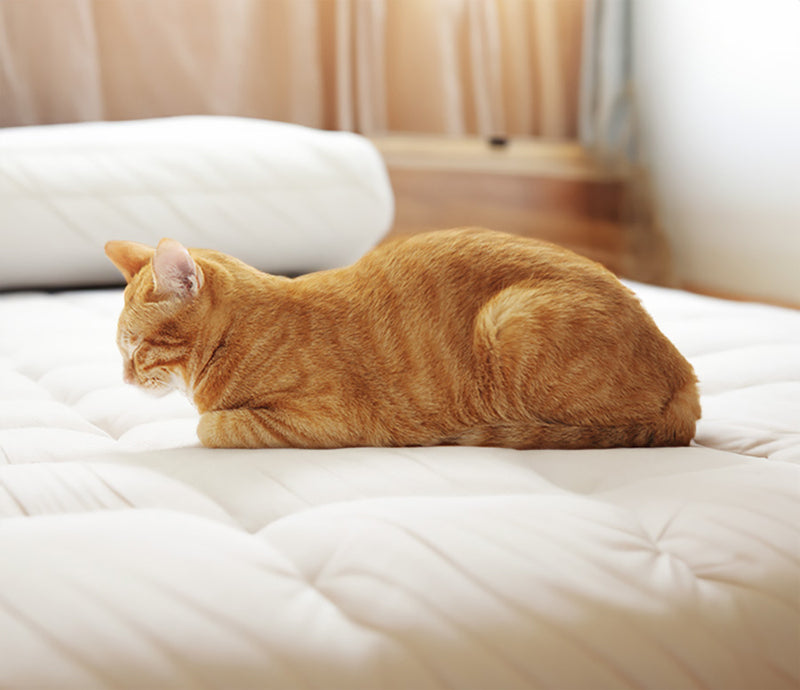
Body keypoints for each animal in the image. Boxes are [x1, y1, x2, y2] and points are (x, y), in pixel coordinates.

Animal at [106, 228, 700, 448]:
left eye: (136, 347)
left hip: (511, 317)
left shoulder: (324, 421)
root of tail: (685, 374)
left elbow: (212, 426)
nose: (124, 377)